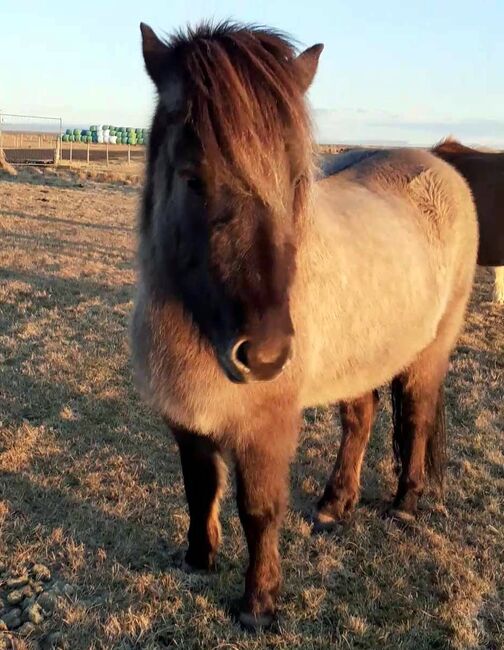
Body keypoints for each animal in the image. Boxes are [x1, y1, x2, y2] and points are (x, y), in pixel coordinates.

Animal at [132, 21, 478, 628]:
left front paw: (258, 604)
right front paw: (198, 559)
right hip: (361, 357)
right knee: (360, 420)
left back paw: (405, 503)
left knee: (415, 415)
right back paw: (335, 505)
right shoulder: (186, 417)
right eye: (193, 178)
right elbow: (199, 487)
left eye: (296, 180)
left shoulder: (264, 426)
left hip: (428, 352)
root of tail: (439, 166)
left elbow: (259, 509)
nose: (266, 356)